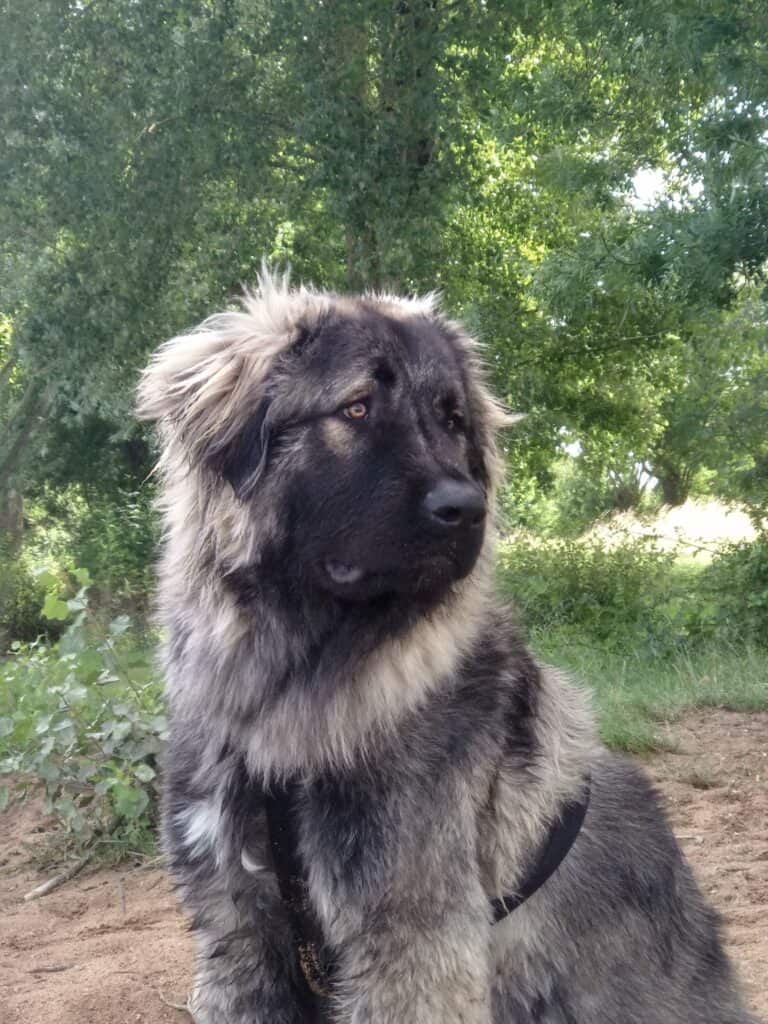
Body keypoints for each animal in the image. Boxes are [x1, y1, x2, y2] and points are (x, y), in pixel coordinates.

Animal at [138, 274, 757, 1024]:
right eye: (356, 407)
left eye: (453, 420)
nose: (466, 509)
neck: (288, 694)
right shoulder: (237, 935)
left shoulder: (412, 947)